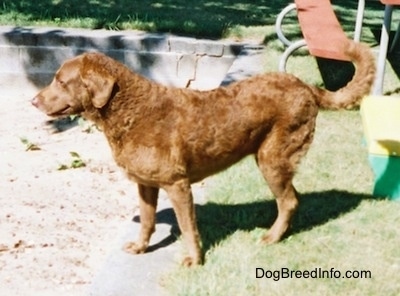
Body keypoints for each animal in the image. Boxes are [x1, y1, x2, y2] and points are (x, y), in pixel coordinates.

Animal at [32, 40, 376, 266]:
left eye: (61, 80)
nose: (33, 101)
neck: (132, 110)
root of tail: (307, 87)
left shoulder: (177, 184)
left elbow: (187, 227)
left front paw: (194, 260)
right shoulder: (145, 183)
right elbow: (147, 220)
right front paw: (140, 247)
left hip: (272, 157)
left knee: (289, 201)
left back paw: (271, 237)